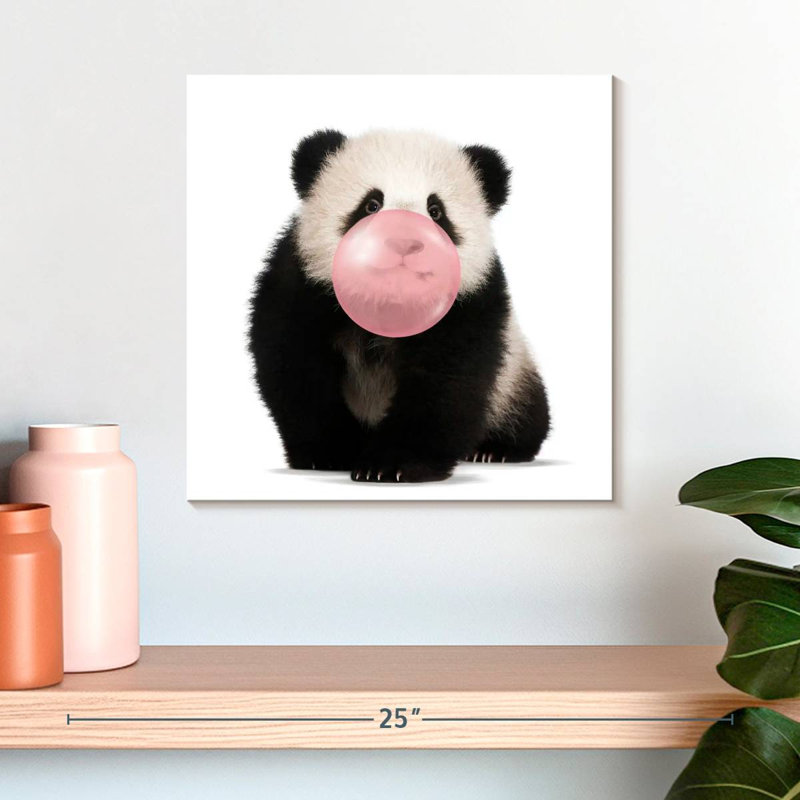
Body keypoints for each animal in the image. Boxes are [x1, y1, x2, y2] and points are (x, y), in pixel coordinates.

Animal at [248, 129, 550, 483]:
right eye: (371, 204)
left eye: (436, 211)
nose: (404, 241)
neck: (388, 303)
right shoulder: (301, 287)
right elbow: (297, 368)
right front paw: (331, 453)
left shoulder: (469, 305)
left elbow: (446, 382)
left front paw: (393, 465)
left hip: (512, 378)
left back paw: (496, 449)